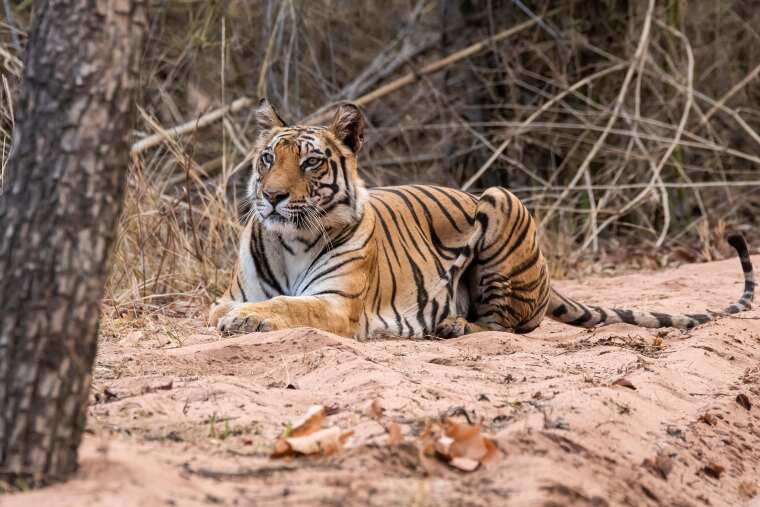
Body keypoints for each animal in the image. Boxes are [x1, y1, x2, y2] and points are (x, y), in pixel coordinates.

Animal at [209, 99, 755, 339]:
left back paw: (450, 325)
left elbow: (289, 306)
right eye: (267, 159)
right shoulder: (234, 289)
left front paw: (247, 320)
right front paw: (231, 316)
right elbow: (226, 306)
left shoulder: (337, 304)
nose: (273, 197)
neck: (289, 241)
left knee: (502, 326)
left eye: (311, 163)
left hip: (501, 200)